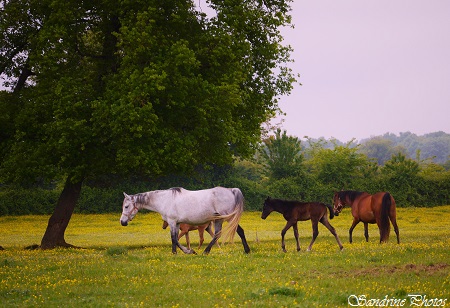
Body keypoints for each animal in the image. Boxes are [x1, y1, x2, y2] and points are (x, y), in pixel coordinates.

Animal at [121, 186, 251, 254]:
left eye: (126, 206)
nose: (122, 222)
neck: (164, 200)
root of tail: (232, 190)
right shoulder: (177, 223)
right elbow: (176, 238)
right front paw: (187, 251)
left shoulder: (172, 222)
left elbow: (174, 238)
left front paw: (179, 252)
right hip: (219, 220)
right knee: (218, 234)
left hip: (228, 218)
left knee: (237, 232)